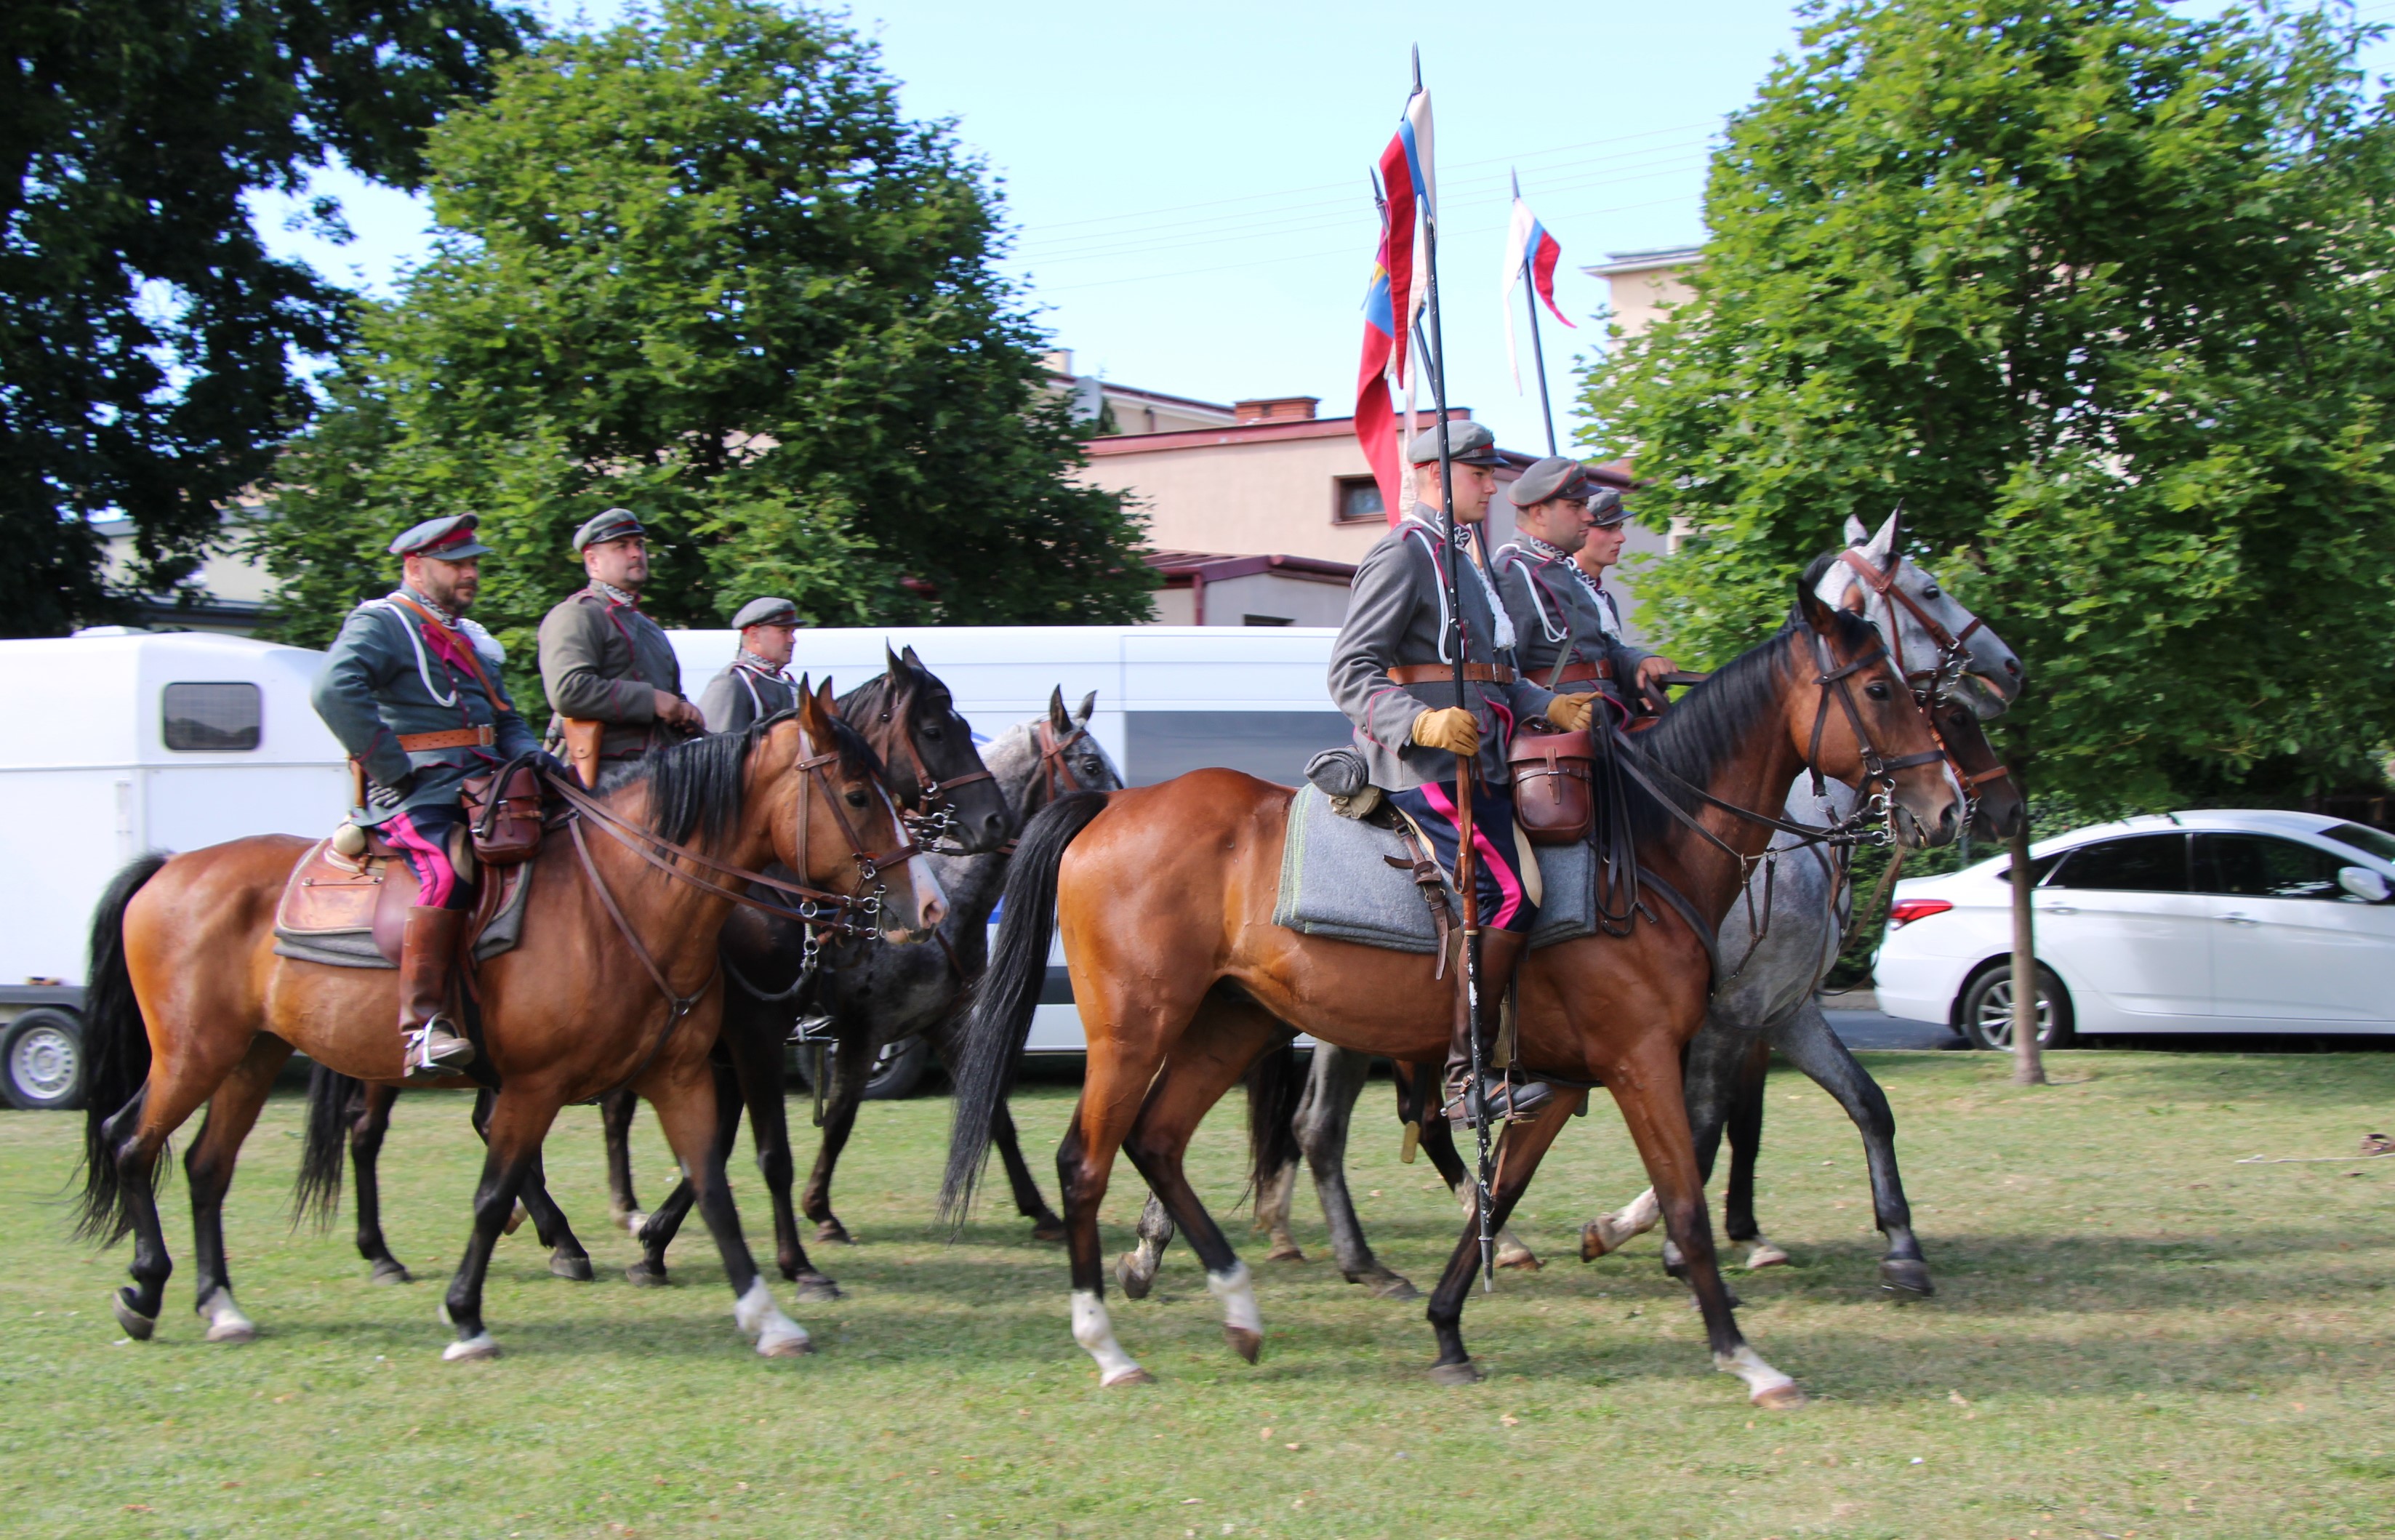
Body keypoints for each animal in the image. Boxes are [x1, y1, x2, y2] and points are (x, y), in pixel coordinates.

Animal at [74, 694, 939, 1370]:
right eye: (857, 794)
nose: (927, 904)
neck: (625, 895)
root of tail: (171, 867)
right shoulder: (540, 1084)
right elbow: (494, 1195)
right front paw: (467, 1316)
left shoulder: (682, 1077)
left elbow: (714, 1187)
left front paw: (765, 1313)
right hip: (195, 1054)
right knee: (132, 1143)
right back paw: (149, 1289)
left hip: (251, 1059)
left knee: (205, 1167)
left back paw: (220, 1304)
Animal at [934, 574, 1964, 1398]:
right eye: (1880, 688)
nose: (1947, 805)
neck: (1651, 846)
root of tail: (1112, 807)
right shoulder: (1642, 1058)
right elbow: (1680, 1195)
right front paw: (1745, 1355)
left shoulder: (1573, 1075)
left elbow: (1499, 1194)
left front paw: (1448, 1328)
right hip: (1135, 1029)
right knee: (1089, 1160)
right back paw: (1109, 1344)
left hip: (1235, 1023)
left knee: (1161, 1142)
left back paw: (1240, 1309)